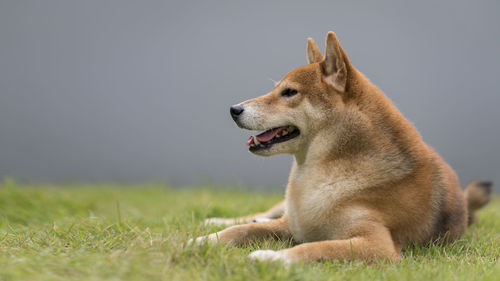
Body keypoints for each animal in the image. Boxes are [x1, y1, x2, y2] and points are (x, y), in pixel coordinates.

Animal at [190, 31, 492, 264]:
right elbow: (237, 231)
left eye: (289, 92)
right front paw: (200, 240)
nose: (234, 109)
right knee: (261, 214)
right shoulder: (292, 222)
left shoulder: (376, 245)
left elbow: (314, 247)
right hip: (283, 208)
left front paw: (271, 257)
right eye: (277, 89)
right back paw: (216, 220)